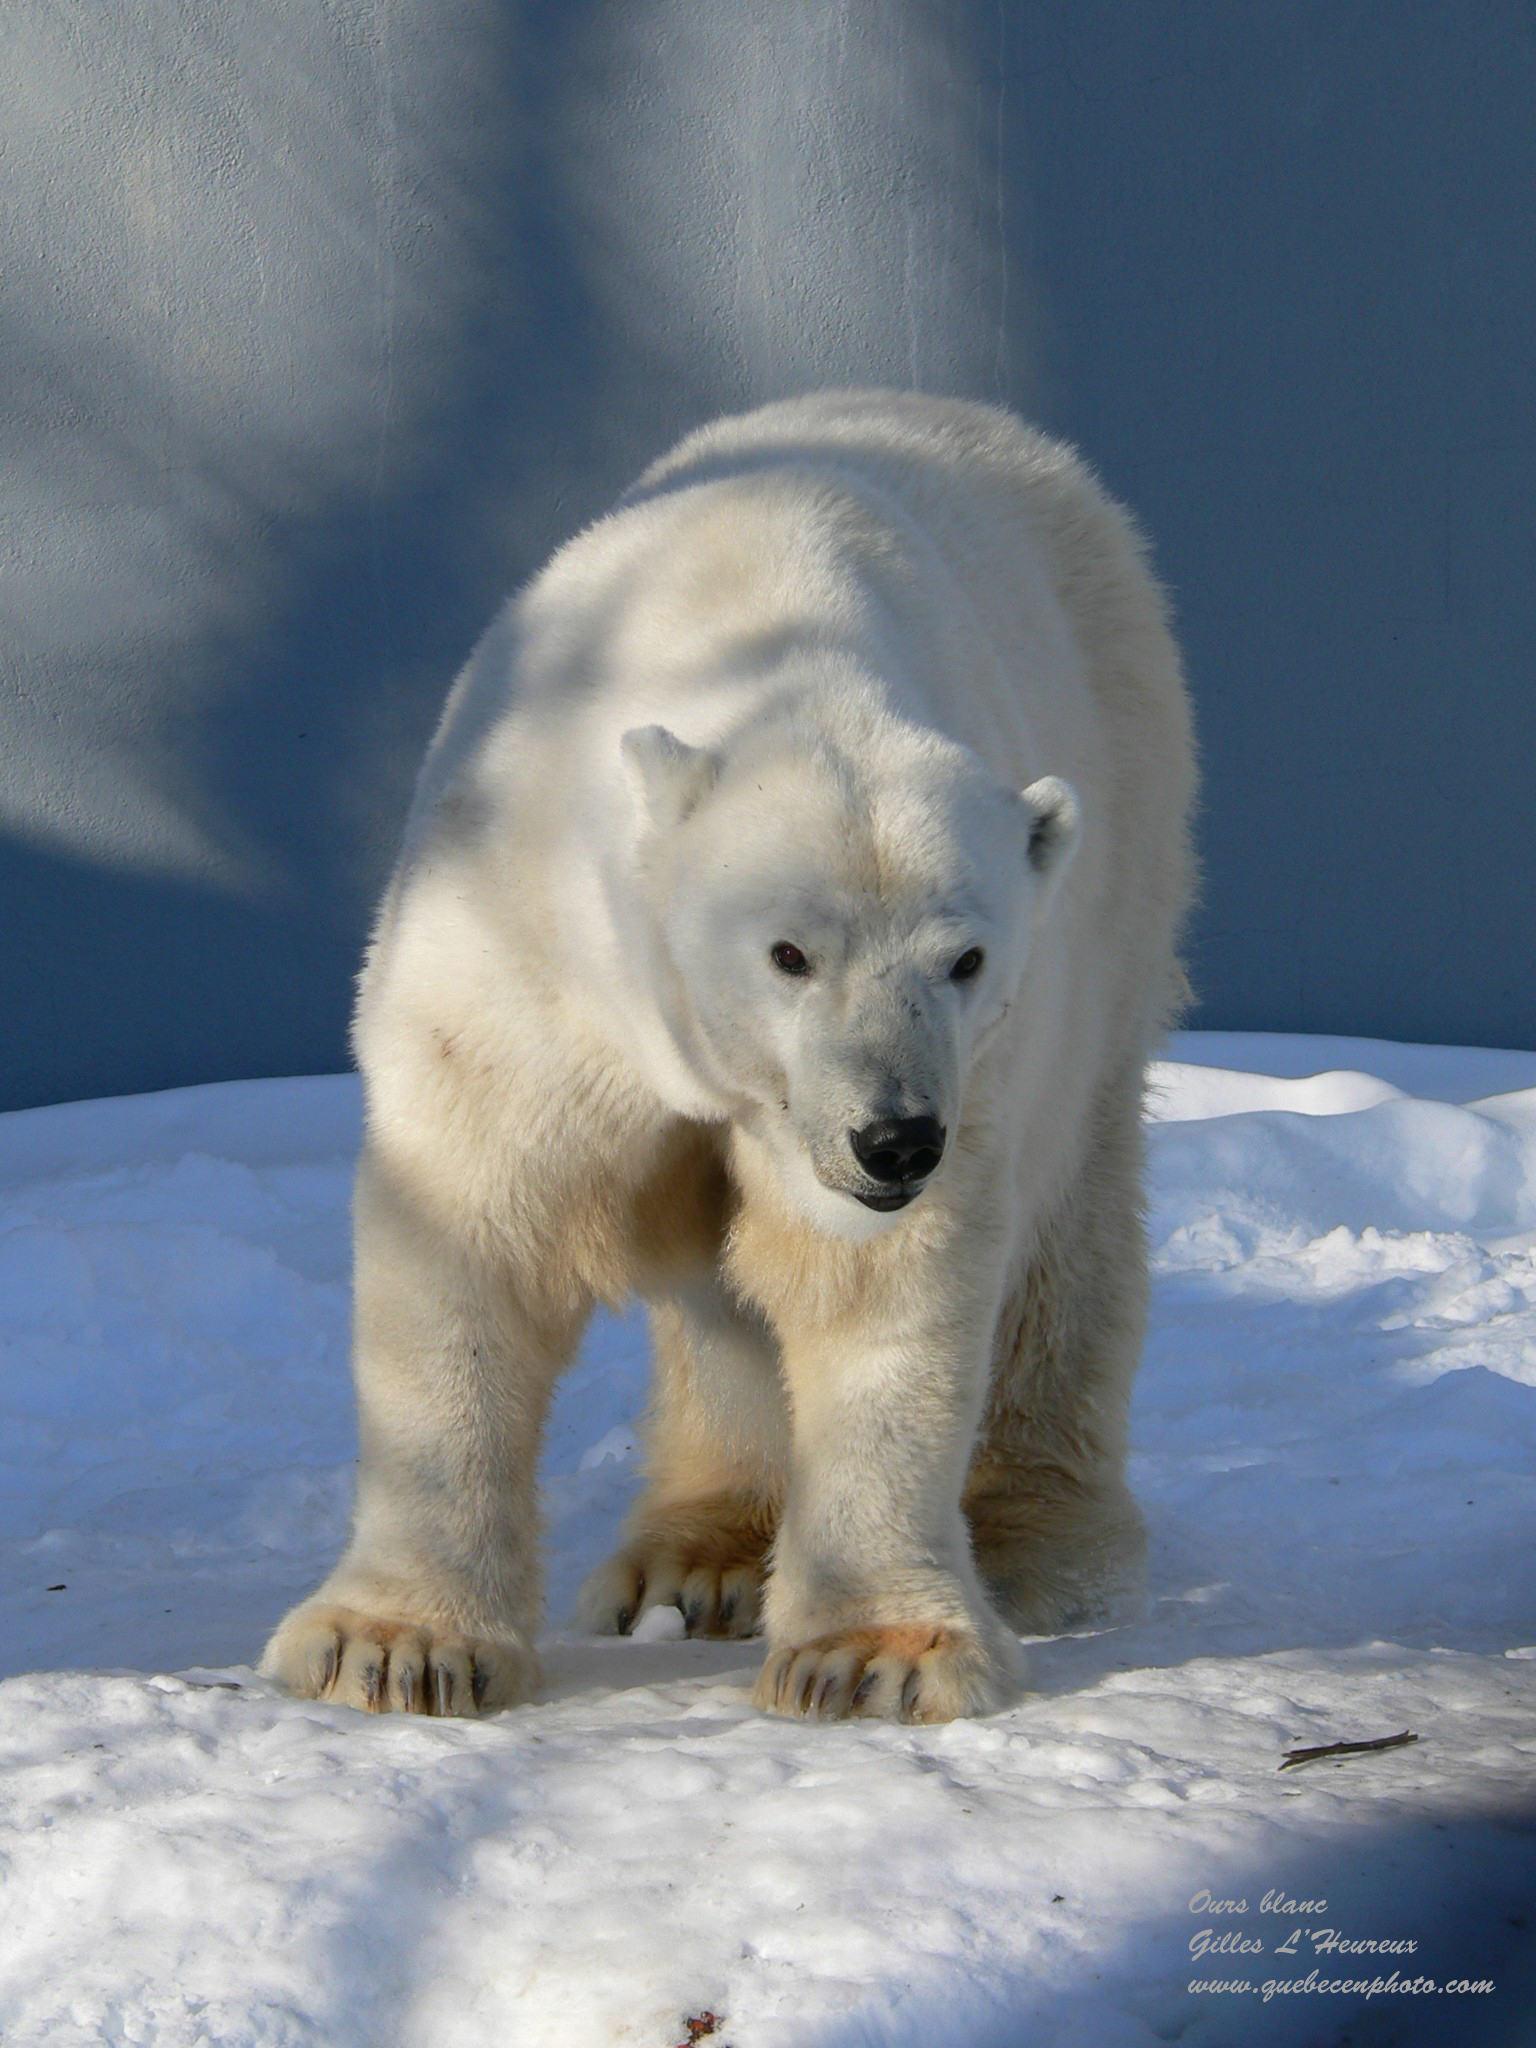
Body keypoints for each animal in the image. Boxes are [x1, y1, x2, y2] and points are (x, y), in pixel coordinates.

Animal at [262, 391, 1204, 1720]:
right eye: (789, 952)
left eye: (964, 958)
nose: (893, 1138)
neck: (765, 620)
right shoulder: (524, 959)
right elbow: (474, 1226)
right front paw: (393, 1644)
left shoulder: (953, 1083)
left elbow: (875, 1287)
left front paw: (873, 1653)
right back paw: (692, 1558)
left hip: (1120, 867)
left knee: (1069, 1217)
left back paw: (1036, 1540)